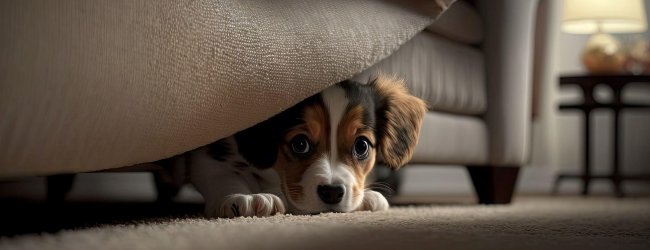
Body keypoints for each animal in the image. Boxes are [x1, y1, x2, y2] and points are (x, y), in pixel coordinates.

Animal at [166, 74, 426, 217]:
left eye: (361, 146)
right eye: (300, 144)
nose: (332, 192)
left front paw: (367, 197)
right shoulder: (210, 154)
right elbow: (224, 176)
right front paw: (244, 197)